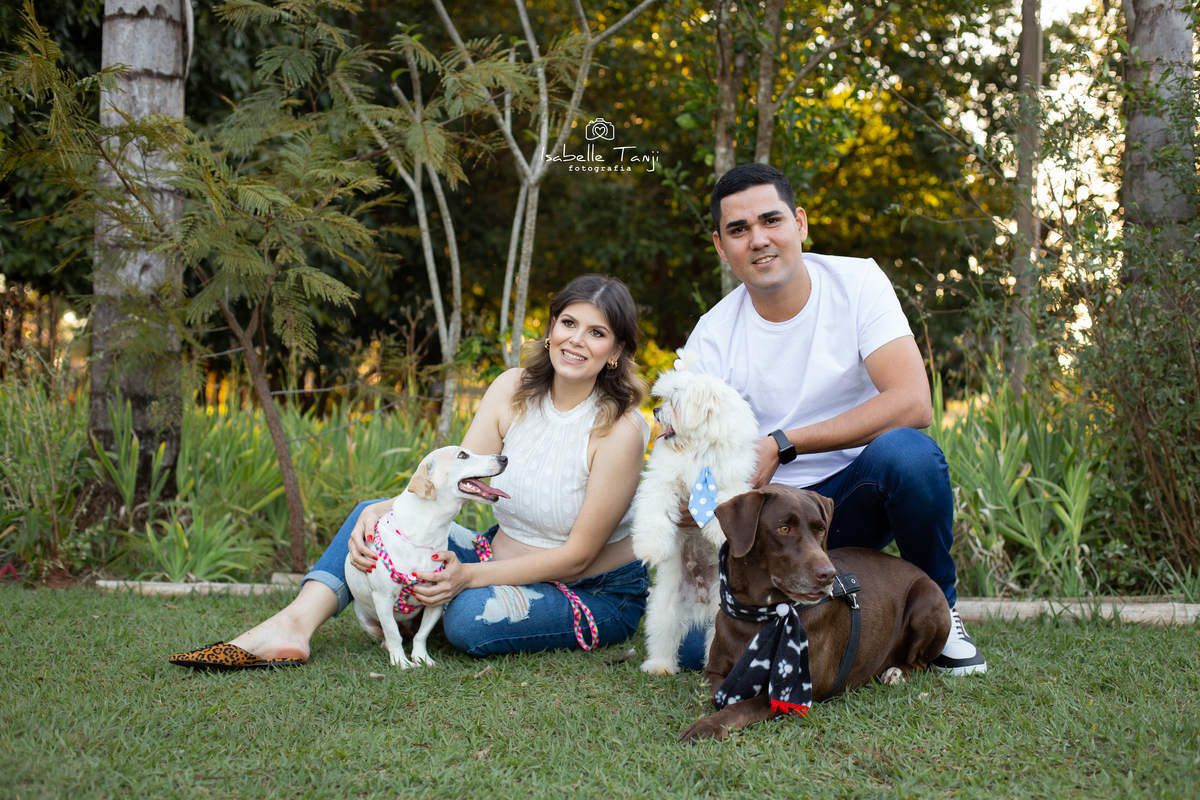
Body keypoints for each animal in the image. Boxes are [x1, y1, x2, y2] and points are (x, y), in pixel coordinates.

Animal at [345, 446, 508, 668]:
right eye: (462, 455)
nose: (504, 458)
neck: (425, 536)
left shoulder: (438, 597)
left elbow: (421, 635)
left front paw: (422, 657)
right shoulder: (383, 599)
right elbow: (393, 634)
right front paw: (401, 661)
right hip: (363, 615)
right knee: (388, 634)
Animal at [630, 350, 759, 675]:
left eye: (674, 402)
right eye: (663, 399)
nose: (657, 410)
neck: (696, 449)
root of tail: (702, 601)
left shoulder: (732, 484)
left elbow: (722, 504)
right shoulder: (660, 482)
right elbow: (654, 516)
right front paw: (651, 548)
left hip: (724, 615)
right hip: (665, 607)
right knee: (664, 635)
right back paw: (660, 666)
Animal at [678, 484, 951, 742]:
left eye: (821, 530)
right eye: (784, 528)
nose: (828, 575)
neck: (762, 613)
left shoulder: (791, 693)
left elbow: (738, 708)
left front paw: (707, 726)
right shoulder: (713, 673)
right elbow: (719, 692)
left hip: (928, 598)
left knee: (920, 663)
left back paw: (896, 672)